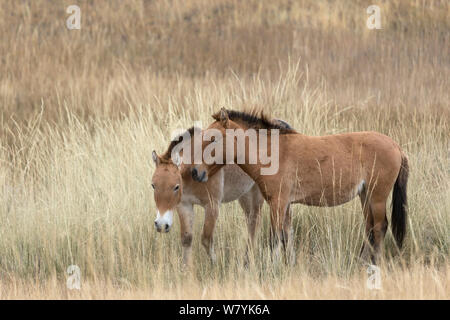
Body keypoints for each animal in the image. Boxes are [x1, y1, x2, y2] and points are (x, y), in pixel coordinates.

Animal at [190, 109, 408, 264]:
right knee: (370, 227)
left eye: (213, 139)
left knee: (379, 227)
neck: (271, 152)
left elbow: (275, 238)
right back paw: (360, 262)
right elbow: (287, 237)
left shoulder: (277, 203)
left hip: (377, 196)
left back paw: (374, 264)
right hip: (365, 195)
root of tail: (396, 146)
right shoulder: (285, 205)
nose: (195, 172)